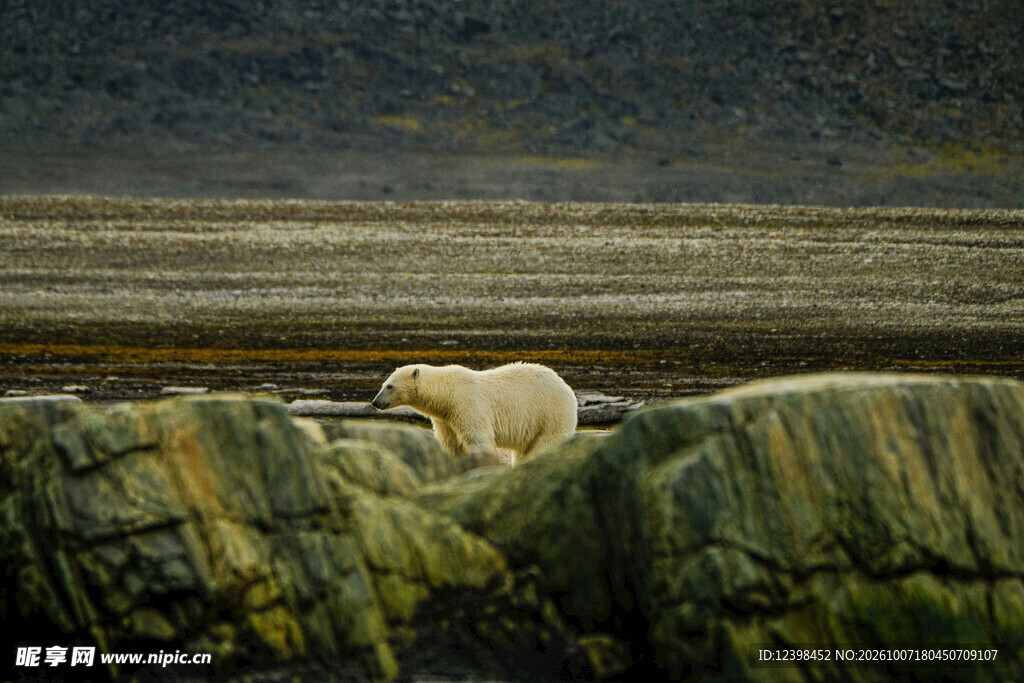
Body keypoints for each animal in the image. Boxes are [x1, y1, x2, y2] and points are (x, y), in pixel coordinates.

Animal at [370, 362, 578, 464]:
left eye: (389, 386)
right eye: (383, 384)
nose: (375, 402)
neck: (446, 391)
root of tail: (566, 387)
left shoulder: (467, 404)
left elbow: (477, 438)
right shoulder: (445, 418)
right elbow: (451, 444)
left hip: (550, 413)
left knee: (547, 443)